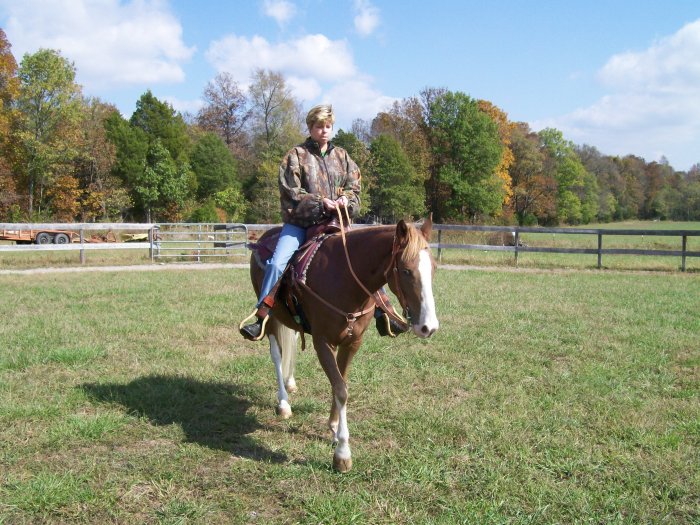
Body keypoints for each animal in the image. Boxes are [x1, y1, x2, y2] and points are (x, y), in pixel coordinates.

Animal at [249, 214, 440, 470]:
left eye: (433, 268)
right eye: (406, 271)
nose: (429, 327)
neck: (344, 279)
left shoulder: (352, 342)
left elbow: (341, 381)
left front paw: (333, 428)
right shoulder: (322, 342)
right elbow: (340, 389)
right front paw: (342, 453)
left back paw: (291, 383)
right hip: (271, 317)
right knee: (276, 354)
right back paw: (283, 403)